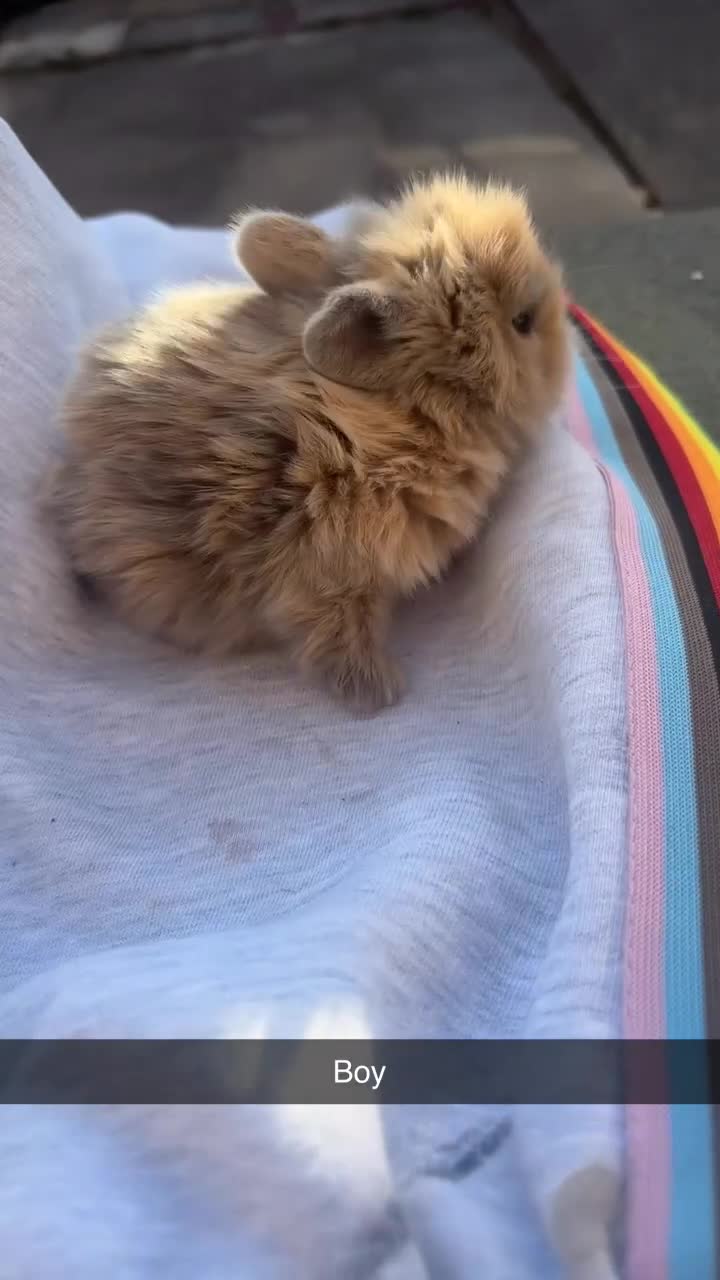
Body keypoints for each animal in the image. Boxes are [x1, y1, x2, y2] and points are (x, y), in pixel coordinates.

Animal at [51, 174, 570, 710]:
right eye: (523, 321)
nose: (564, 315)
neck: (416, 409)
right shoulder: (326, 568)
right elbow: (335, 628)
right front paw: (379, 693)